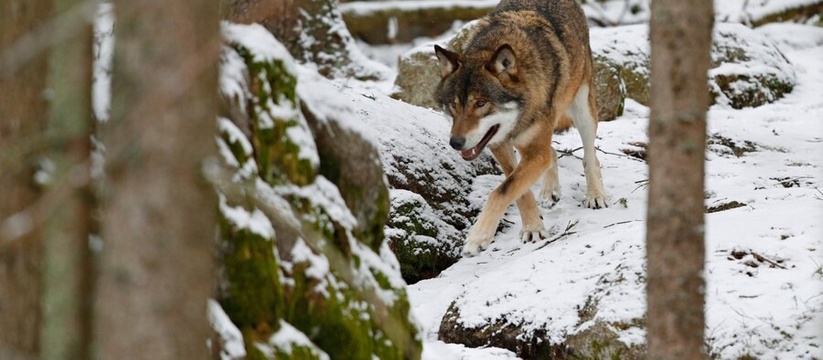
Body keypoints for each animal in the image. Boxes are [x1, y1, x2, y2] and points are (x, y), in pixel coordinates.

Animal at [434, 0, 608, 256]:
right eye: (454, 105)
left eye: (481, 103)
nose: (455, 142)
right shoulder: (500, 146)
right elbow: (516, 188)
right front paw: (533, 227)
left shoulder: (534, 151)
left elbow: (500, 192)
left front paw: (477, 237)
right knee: (552, 152)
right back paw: (549, 191)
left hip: (582, 109)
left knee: (589, 155)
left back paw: (596, 195)